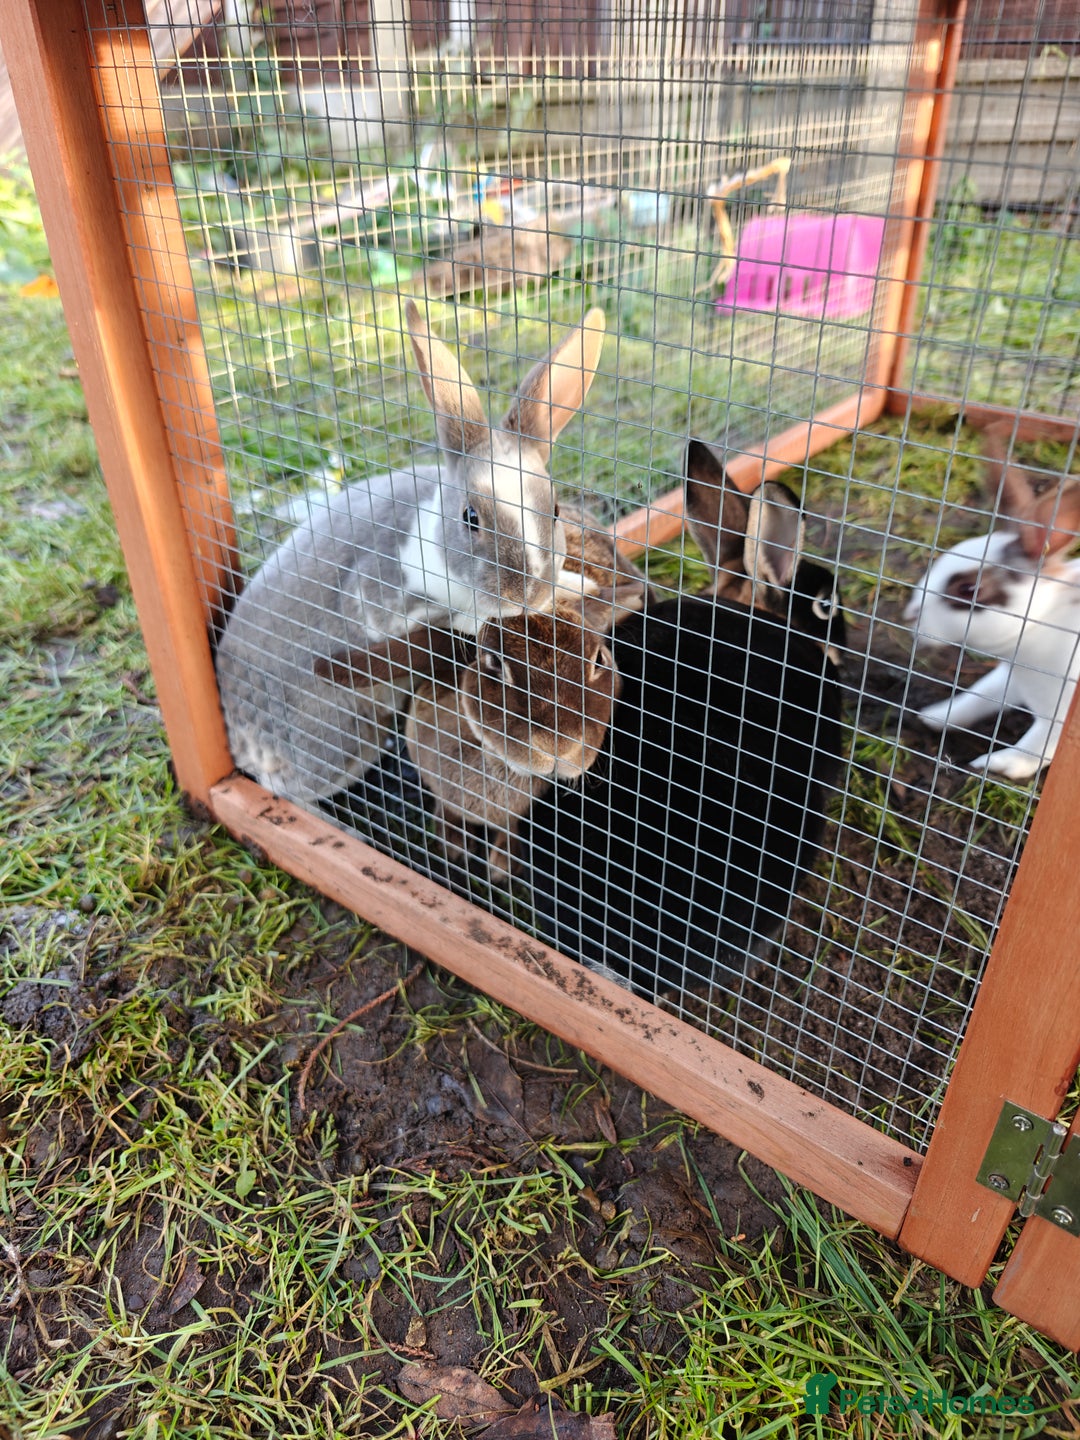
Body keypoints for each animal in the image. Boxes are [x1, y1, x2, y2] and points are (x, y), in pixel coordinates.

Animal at [215, 299, 607, 803]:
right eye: (470, 517)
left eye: (555, 510)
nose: (528, 593)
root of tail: (236, 734)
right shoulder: (381, 594)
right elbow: (449, 615)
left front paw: (576, 582)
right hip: (338, 735)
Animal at [904, 427, 1080, 781]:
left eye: (968, 589)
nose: (910, 616)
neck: (1044, 623)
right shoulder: (1007, 679)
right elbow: (980, 696)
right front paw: (934, 716)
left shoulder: (1059, 717)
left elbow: (1037, 745)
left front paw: (997, 764)